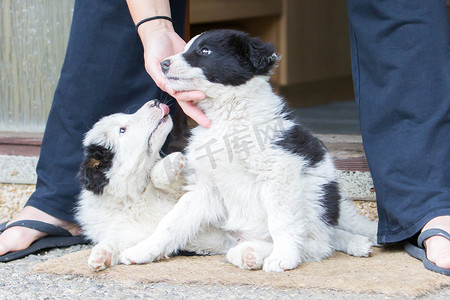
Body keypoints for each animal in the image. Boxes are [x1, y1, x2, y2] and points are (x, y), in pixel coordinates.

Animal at [75, 101, 232, 272]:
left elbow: (158, 175)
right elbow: (117, 240)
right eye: (122, 130)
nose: (155, 102)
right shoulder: (134, 231)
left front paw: (170, 163)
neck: (135, 196)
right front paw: (100, 254)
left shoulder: (188, 186)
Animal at [120, 29, 380, 272]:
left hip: (319, 194)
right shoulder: (205, 186)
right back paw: (251, 253)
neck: (228, 116)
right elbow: (171, 223)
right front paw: (142, 250)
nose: (163, 63)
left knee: (319, 242)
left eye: (205, 51)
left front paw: (284, 257)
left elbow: (282, 221)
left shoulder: (279, 171)